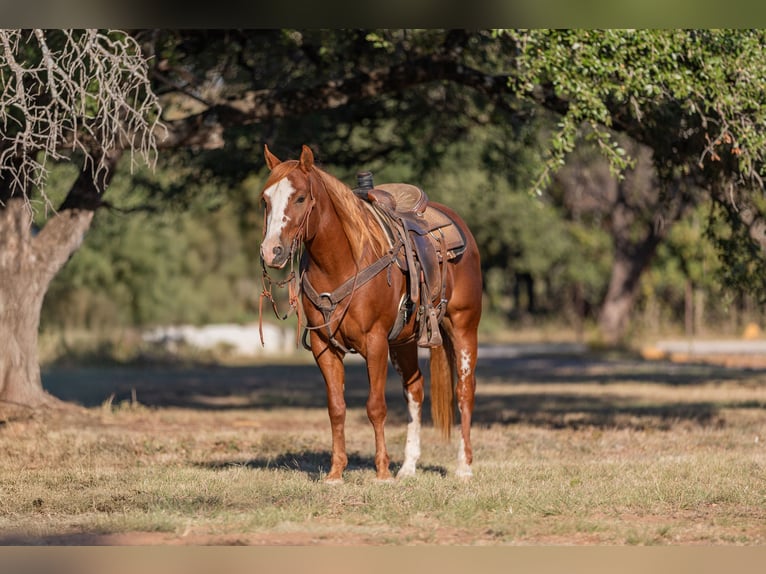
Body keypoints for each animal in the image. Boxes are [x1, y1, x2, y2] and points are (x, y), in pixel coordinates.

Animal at [260, 144, 484, 482]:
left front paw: (381, 472)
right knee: (415, 390)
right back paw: (408, 467)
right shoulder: (324, 347)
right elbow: (336, 407)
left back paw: (464, 467)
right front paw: (336, 473)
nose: (271, 251)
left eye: (299, 198)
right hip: (404, 342)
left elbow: (375, 406)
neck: (341, 263)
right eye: (265, 199)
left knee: (464, 391)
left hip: (464, 326)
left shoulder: (375, 341)